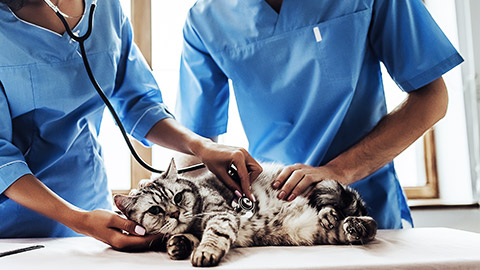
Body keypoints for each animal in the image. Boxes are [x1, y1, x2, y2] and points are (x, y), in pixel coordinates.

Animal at [114, 159, 376, 266]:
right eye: (155, 209)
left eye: (178, 197)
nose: (175, 213)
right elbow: (185, 238)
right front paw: (177, 244)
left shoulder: (221, 215)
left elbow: (213, 236)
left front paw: (204, 253)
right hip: (314, 232)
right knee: (363, 227)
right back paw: (352, 226)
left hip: (321, 195)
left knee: (360, 215)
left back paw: (336, 216)